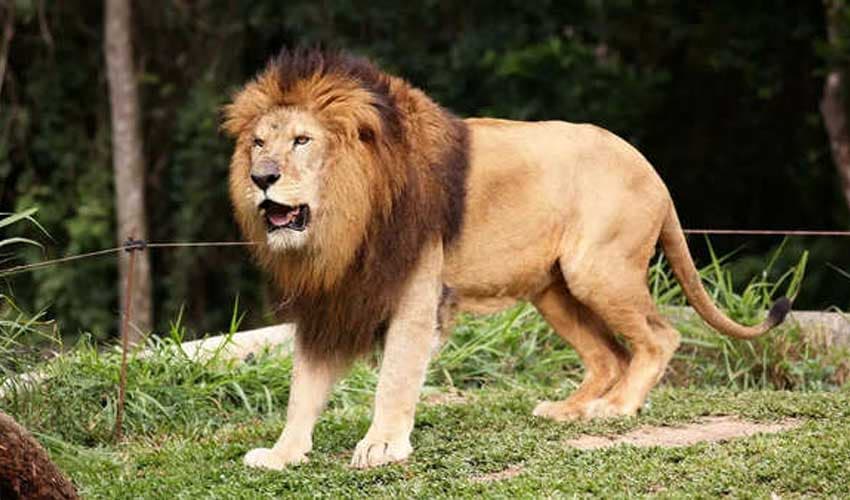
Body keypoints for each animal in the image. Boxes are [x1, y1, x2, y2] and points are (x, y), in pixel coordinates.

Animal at [223, 48, 790, 470]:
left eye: (302, 140)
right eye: (259, 143)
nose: (262, 177)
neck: (345, 220)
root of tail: (651, 169)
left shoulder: (415, 294)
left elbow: (396, 377)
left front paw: (381, 445)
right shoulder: (330, 300)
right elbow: (304, 386)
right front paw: (282, 454)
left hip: (597, 270)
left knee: (659, 337)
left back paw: (615, 408)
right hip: (554, 290)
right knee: (610, 355)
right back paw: (566, 410)